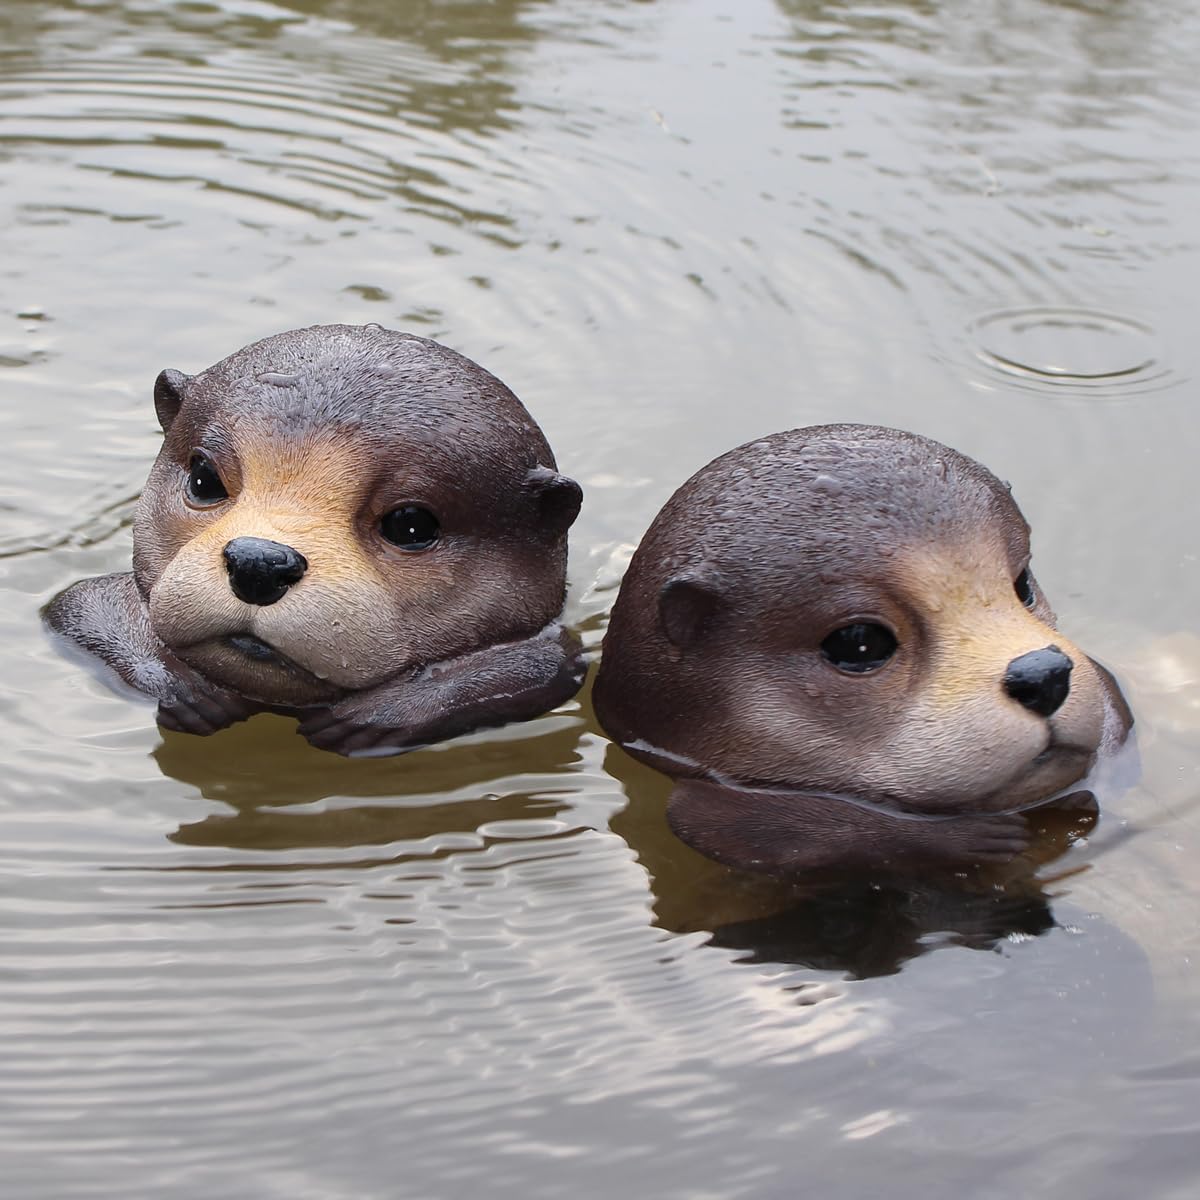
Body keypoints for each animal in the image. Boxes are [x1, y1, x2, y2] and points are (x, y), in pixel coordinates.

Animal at [45, 324, 584, 756]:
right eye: (204, 478)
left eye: (411, 525)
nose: (259, 562)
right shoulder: (80, 609)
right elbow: (78, 606)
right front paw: (184, 685)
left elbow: (547, 664)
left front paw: (384, 711)